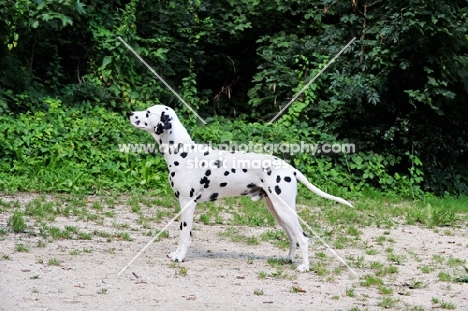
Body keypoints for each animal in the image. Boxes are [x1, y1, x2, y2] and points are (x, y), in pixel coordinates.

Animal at [126, 105, 352, 272]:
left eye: (148, 113)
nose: (130, 113)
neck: (183, 152)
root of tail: (291, 169)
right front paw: (176, 253)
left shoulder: (187, 204)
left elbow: (184, 235)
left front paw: (179, 257)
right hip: (277, 212)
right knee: (293, 237)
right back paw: (288, 259)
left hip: (285, 210)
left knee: (303, 238)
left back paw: (304, 267)